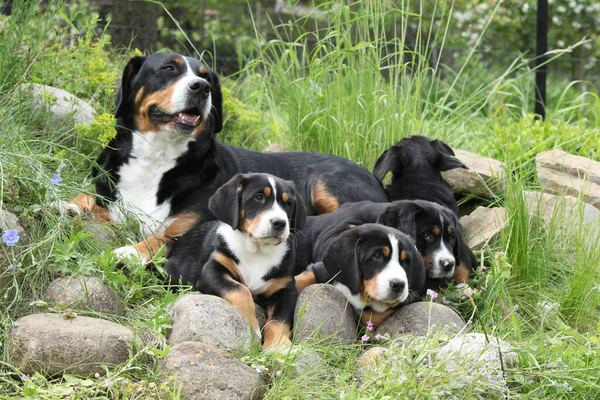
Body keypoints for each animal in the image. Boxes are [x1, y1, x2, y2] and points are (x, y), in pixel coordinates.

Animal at [64, 53, 384, 264]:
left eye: (206, 76)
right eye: (168, 68)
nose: (201, 87)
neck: (158, 158)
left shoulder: (193, 228)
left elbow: (159, 237)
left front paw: (131, 250)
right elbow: (90, 197)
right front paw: (71, 204)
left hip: (324, 182)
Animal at [164, 173, 304, 348]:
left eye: (288, 203)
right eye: (258, 197)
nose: (280, 223)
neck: (257, 251)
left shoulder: (285, 288)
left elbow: (279, 320)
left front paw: (279, 345)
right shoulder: (212, 271)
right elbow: (240, 291)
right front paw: (251, 326)